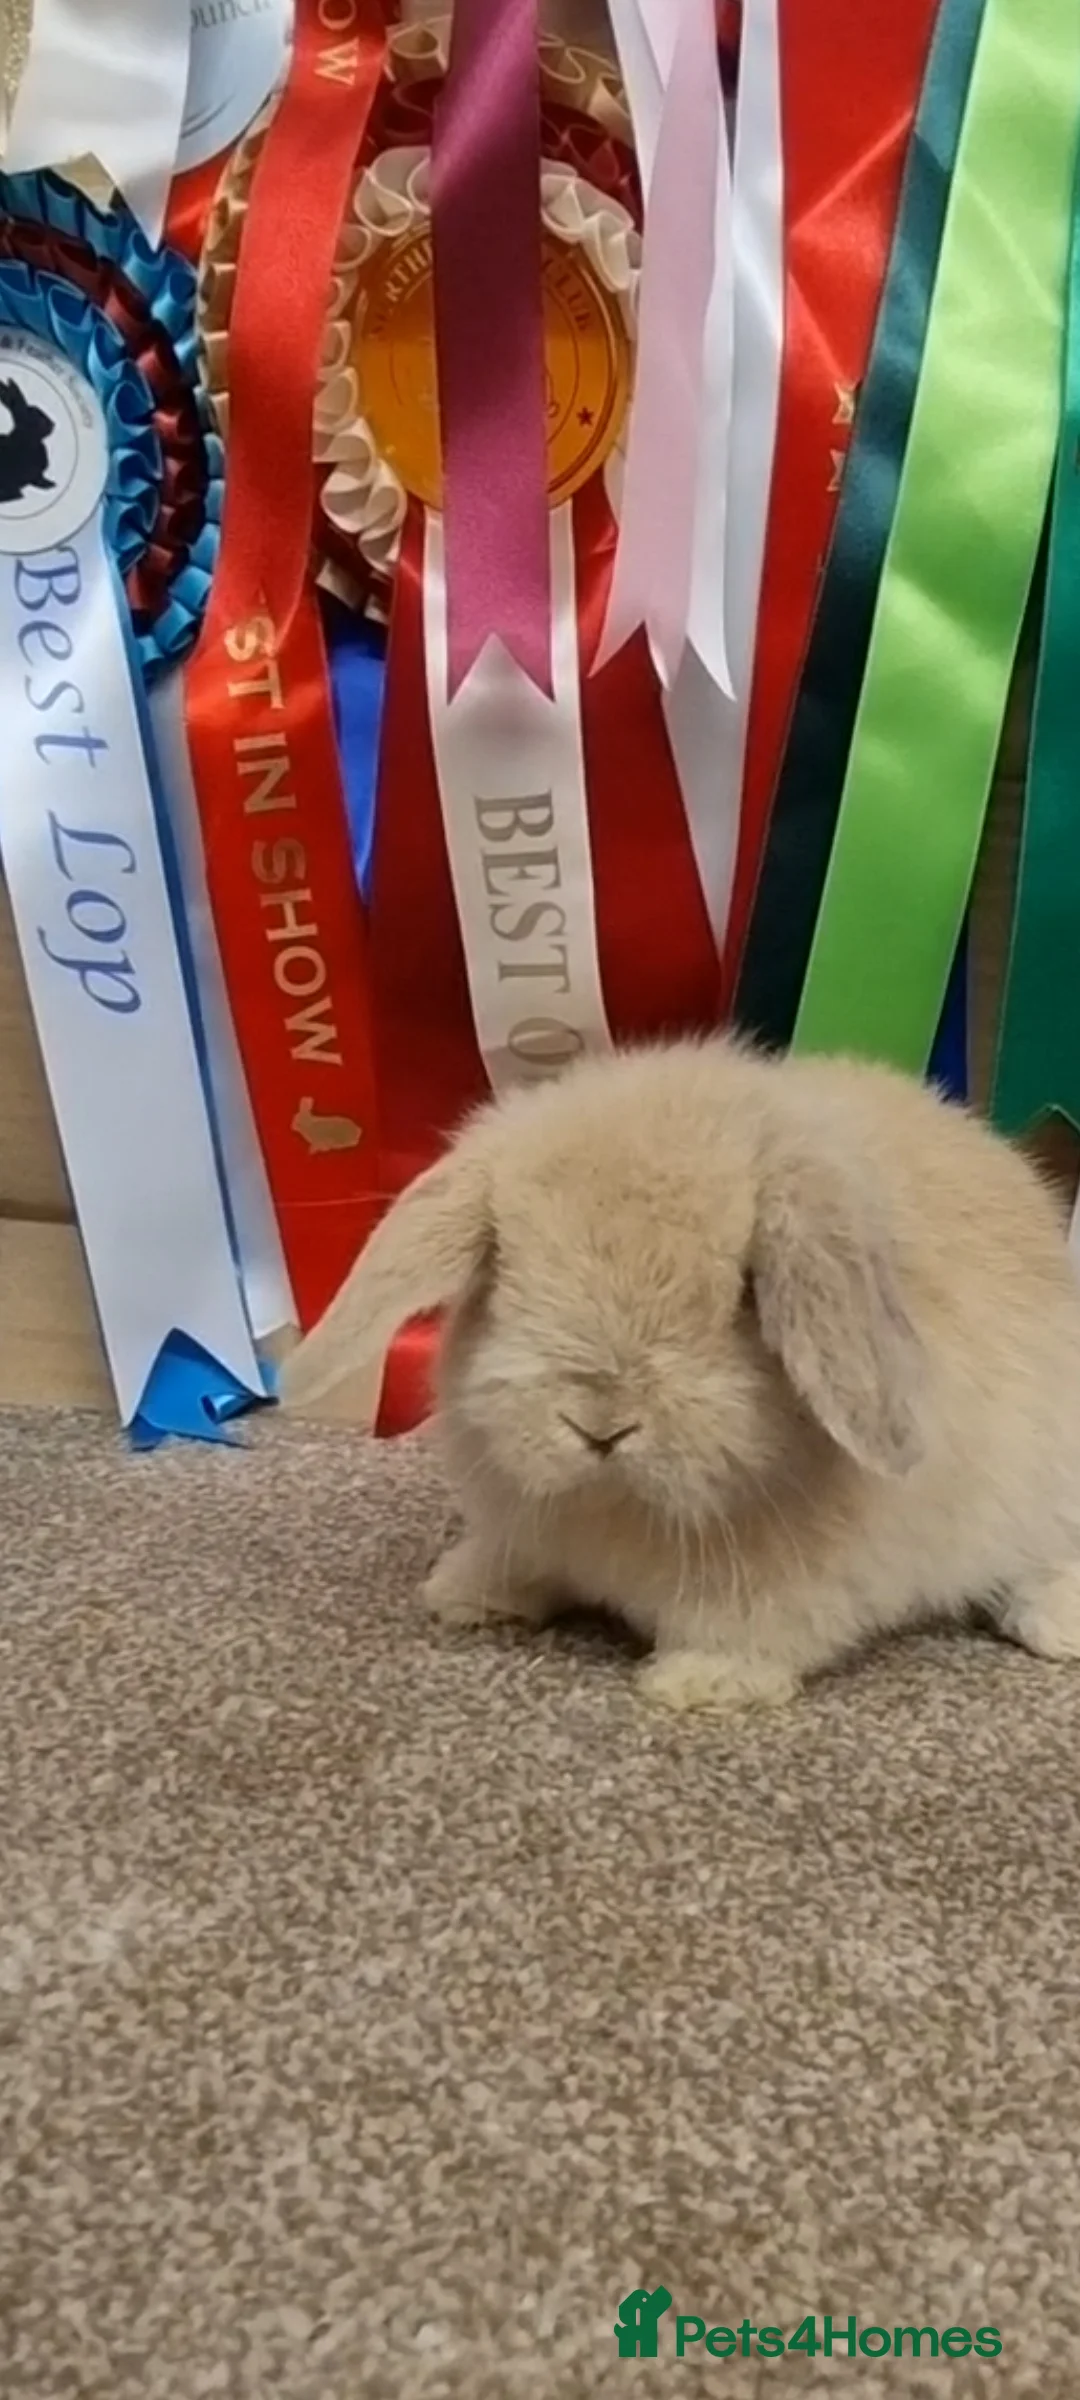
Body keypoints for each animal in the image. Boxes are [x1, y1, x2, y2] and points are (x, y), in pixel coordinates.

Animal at [281, 1038, 1080, 1713]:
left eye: (745, 1295)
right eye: (503, 1268)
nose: (601, 1426)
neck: (618, 1505)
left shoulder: (792, 1584)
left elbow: (754, 1628)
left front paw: (702, 1681)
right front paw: (467, 1595)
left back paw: (1058, 1624)